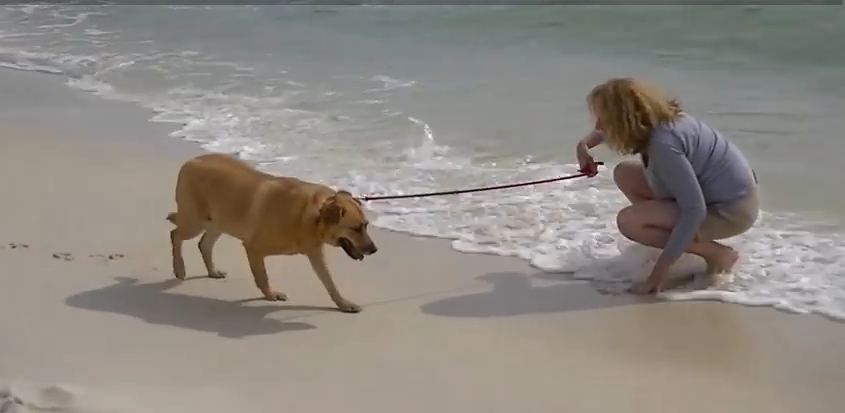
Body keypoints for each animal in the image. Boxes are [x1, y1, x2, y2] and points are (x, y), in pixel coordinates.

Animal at [165, 154, 376, 312]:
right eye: (356, 228)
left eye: (366, 225)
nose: (374, 250)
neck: (312, 214)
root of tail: (190, 161)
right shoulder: (254, 249)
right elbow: (263, 277)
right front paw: (270, 294)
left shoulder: (315, 254)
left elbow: (329, 282)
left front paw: (343, 303)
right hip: (194, 221)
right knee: (175, 234)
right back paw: (179, 268)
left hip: (218, 222)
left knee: (204, 244)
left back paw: (212, 271)